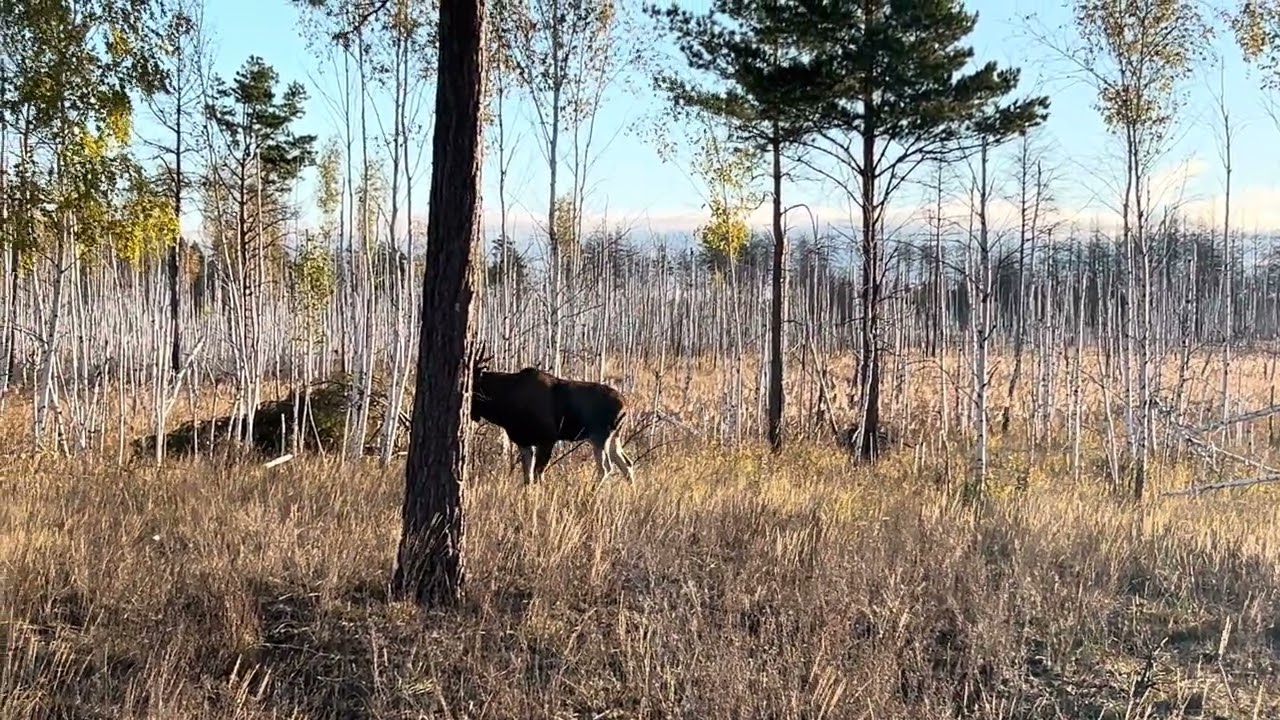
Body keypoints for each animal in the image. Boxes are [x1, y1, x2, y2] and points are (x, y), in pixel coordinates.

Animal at [469, 350, 635, 484]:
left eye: (471, 384)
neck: (504, 405)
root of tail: (626, 406)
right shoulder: (524, 441)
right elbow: (527, 476)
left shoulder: (548, 438)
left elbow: (539, 474)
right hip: (614, 436)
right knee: (626, 463)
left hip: (600, 436)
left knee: (606, 467)